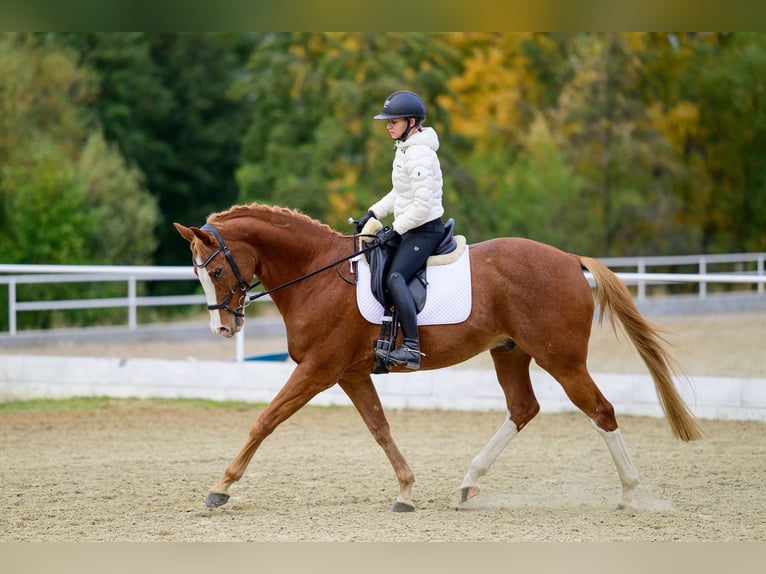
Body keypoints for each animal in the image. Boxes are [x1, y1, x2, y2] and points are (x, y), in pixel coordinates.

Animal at [174, 202, 703, 512]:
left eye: (215, 270)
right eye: (198, 272)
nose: (223, 328)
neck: (317, 274)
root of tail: (569, 259)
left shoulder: (318, 369)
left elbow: (266, 420)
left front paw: (221, 487)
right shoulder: (348, 374)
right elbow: (380, 427)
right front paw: (406, 490)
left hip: (564, 361)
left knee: (601, 411)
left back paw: (630, 493)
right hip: (510, 353)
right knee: (522, 408)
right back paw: (468, 484)